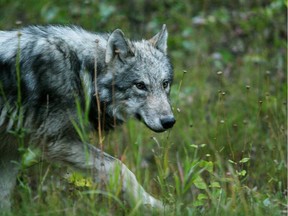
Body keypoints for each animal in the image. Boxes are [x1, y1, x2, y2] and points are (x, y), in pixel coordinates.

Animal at [0, 24, 176, 213]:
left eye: (165, 84)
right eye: (140, 85)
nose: (169, 121)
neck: (80, 73)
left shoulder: (11, 149)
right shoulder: (58, 141)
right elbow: (120, 168)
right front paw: (156, 207)